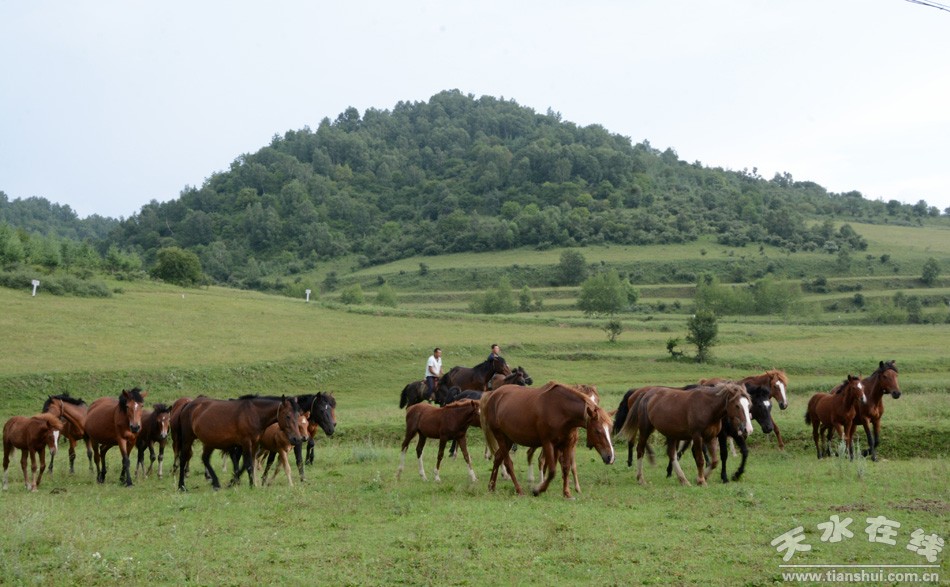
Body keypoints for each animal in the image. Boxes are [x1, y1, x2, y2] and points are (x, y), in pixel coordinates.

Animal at [481, 382, 615, 498]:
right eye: (597, 431)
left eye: (610, 429)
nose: (610, 457)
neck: (561, 410)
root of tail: (493, 395)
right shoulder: (548, 443)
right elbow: (552, 471)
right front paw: (538, 490)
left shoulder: (566, 444)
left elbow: (566, 467)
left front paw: (567, 493)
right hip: (500, 437)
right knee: (508, 463)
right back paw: (519, 490)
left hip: (508, 439)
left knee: (498, 457)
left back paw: (491, 486)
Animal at [619, 382, 752, 486]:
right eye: (737, 405)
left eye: (749, 405)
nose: (748, 429)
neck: (708, 407)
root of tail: (645, 394)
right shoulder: (697, 436)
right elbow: (700, 459)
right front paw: (701, 480)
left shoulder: (711, 437)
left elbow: (715, 461)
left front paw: (702, 477)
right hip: (645, 429)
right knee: (640, 450)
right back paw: (641, 479)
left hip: (671, 434)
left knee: (671, 454)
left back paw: (683, 479)